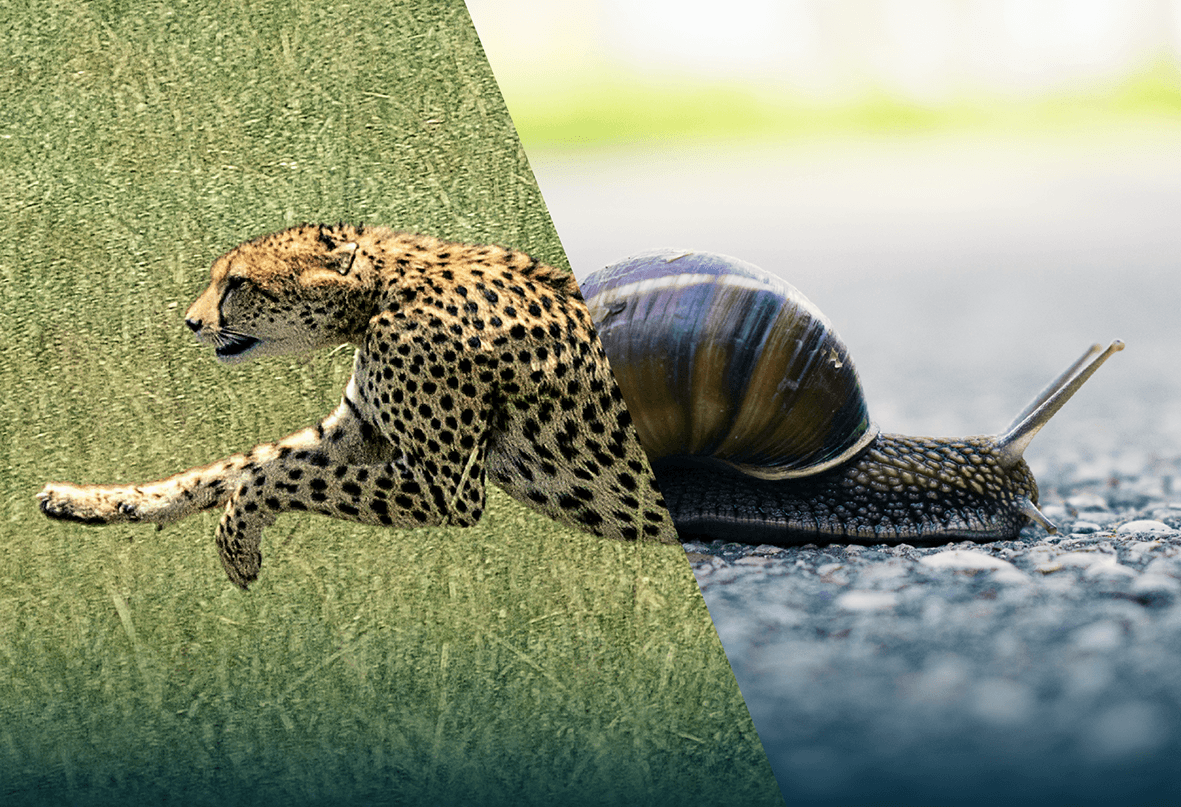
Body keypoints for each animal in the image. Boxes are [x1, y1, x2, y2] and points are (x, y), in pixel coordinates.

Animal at [37, 224, 677, 589]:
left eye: (238, 283)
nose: (192, 323)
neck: (383, 290)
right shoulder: (359, 428)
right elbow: (241, 466)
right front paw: (96, 502)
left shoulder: (445, 490)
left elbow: (277, 476)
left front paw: (238, 544)